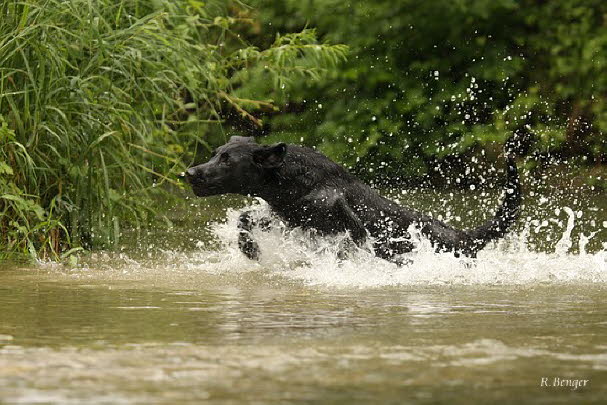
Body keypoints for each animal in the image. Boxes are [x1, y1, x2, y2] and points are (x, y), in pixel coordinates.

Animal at [183, 136, 520, 262]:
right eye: (215, 153)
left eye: (227, 160)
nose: (190, 172)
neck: (295, 181)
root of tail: (465, 237)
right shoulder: (286, 218)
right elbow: (245, 217)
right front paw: (250, 249)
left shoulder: (348, 226)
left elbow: (351, 244)